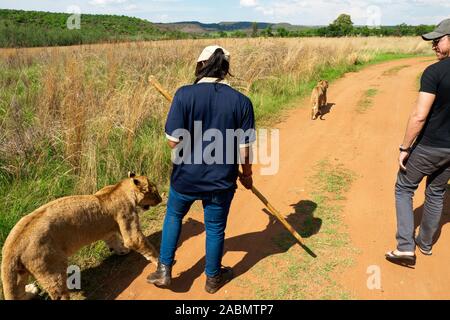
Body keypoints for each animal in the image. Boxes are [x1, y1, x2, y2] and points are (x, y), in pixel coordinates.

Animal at [0, 172, 163, 300]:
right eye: (154, 192)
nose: (161, 200)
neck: (119, 189)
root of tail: (12, 246)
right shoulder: (129, 224)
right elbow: (140, 243)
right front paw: (159, 263)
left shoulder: (107, 229)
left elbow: (113, 239)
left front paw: (122, 250)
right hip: (52, 270)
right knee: (58, 294)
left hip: (19, 273)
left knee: (18, 293)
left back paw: (32, 290)